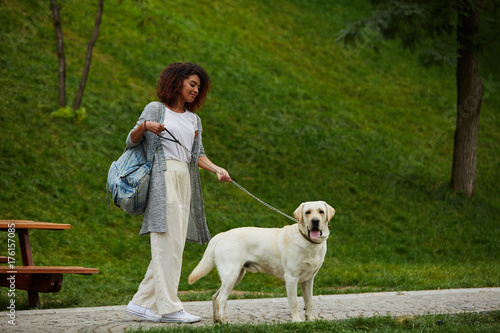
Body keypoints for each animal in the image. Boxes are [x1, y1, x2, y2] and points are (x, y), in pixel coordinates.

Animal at [189, 200, 334, 322]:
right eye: (307, 212)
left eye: (321, 211)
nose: (315, 221)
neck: (309, 243)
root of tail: (222, 234)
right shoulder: (291, 278)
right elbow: (294, 302)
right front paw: (297, 321)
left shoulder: (308, 279)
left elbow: (309, 301)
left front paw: (310, 319)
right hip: (231, 274)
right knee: (221, 299)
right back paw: (224, 322)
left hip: (235, 276)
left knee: (215, 296)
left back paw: (217, 320)